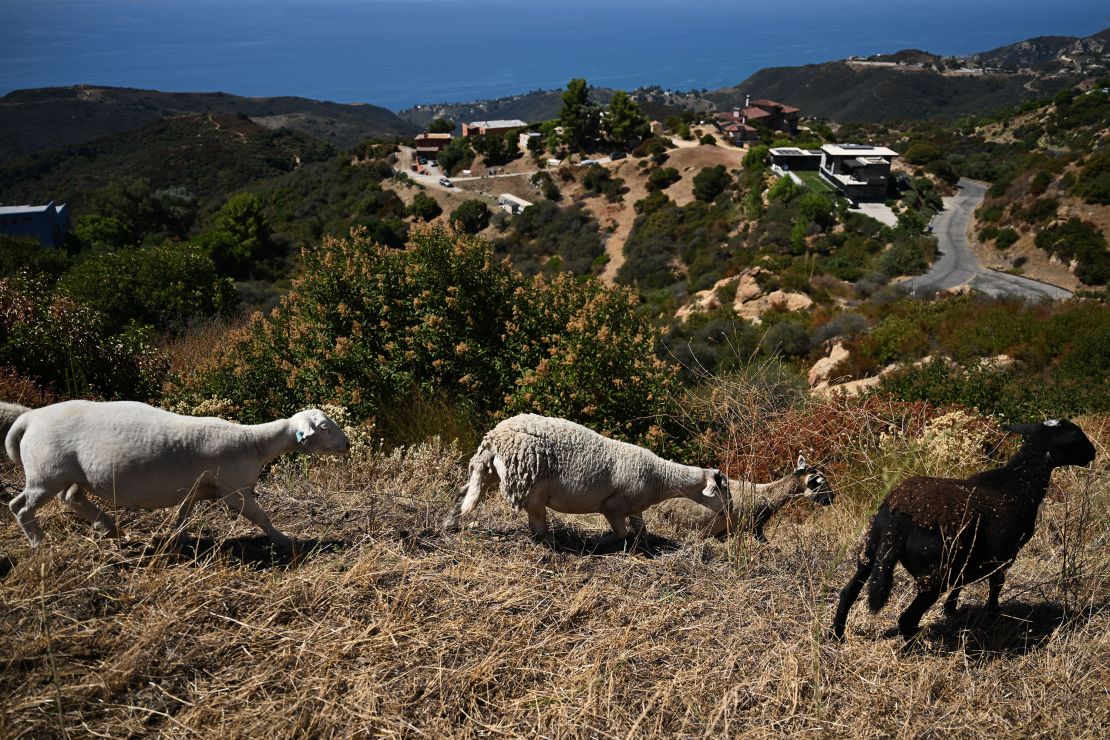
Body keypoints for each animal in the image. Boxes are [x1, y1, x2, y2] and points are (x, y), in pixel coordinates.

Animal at [5, 399, 350, 550]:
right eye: (324, 428)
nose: (346, 445)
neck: (253, 442)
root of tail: (30, 419)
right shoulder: (233, 488)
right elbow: (259, 516)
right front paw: (283, 540)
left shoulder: (199, 487)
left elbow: (184, 513)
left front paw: (176, 536)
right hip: (45, 474)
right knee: (20, 507)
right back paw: (40, 544)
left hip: (69, 474)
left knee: (72, 497)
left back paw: (109, 528)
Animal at [441, 414, 728, 548]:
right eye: (723, 489)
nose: (729, 511)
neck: (661, 477)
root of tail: (494, 437)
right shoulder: (613, 507)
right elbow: (622, 534)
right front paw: (602, 543)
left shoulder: (634, 508)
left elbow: (640, 530)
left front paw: (645, 544)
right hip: (531, 486)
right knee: (537, 525)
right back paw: (554, 544)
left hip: (489, 471)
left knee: (463, 492)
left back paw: (449, 523)